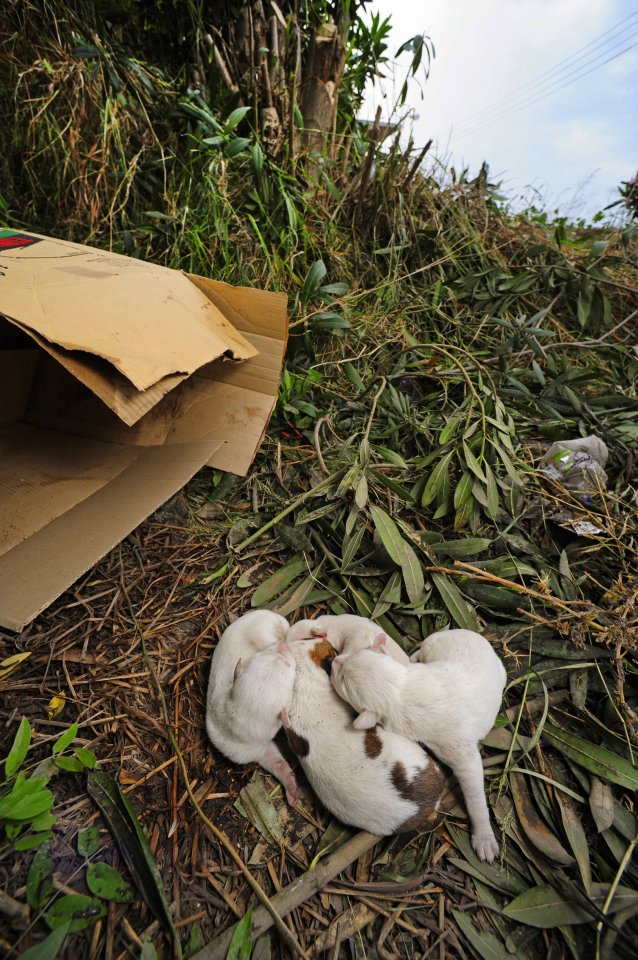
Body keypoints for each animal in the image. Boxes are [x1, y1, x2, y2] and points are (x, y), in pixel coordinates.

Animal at [332, 628, 508, 860]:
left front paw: (484, 838)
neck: (402, 691)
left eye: (343, 681)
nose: (333, 660)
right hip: (435, 643)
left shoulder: (461, 753)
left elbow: (475, 795)